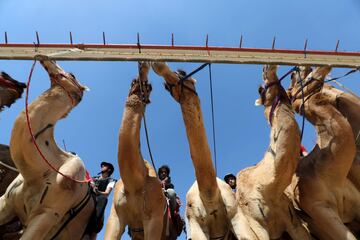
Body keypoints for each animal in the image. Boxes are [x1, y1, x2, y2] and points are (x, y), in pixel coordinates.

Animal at [103, 62, 178, 240]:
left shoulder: (154, 217)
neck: (134, 183)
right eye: (132, 82)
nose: (143, 66)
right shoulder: (116, 216)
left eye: (149, 87)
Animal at [150, 62, 255, 240]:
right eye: (165, 87)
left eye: (183, 72)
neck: (209, 194)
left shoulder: (236, 215)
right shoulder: (195, 223)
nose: (159, 65)